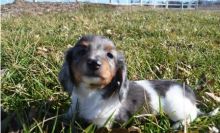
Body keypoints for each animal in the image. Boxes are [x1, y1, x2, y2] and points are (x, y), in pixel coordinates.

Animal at [58, 35, 203, 129]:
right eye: (82, 51)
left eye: (110, 55)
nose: (94, 63)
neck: (90, 93)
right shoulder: (71, 113)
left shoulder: (104, 123)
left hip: (177, 109)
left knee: (191, 116)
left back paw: (177, 125)